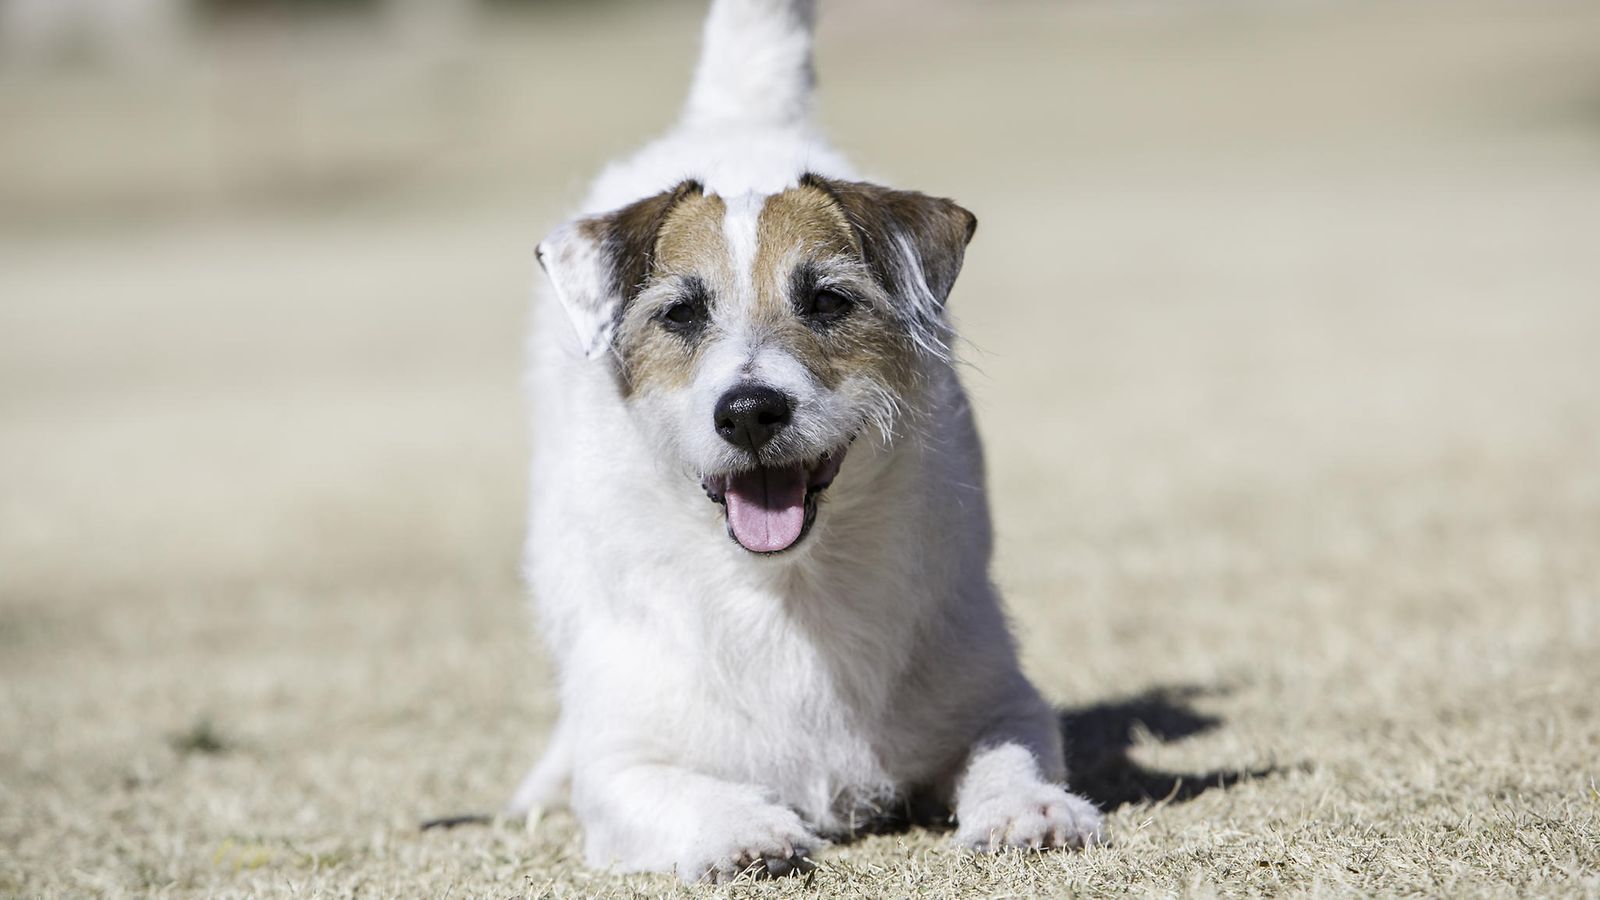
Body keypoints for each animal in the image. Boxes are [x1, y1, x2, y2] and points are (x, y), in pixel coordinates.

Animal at [505, 0, 1107, 877]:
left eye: (827, 300)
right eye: (681, 313)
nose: (751, 410)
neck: (787, 592)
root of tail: (735, 117)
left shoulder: (996, 697)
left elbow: (1009, 751)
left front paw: (1029, 808)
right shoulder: (626, 765)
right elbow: (668, 786)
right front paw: (741, 829)